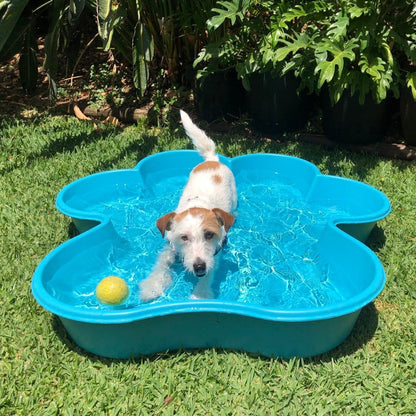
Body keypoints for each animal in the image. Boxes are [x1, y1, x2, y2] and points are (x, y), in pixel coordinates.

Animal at [140, 109, 236, 300]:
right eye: (184, 237)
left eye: (209, 235)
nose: (199, 266)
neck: (197, 205)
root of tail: (212, 159)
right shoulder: (170, 247)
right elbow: (161, 265)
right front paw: (152, 286)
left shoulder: (214, 254)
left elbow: (209, 274)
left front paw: (200, 294)